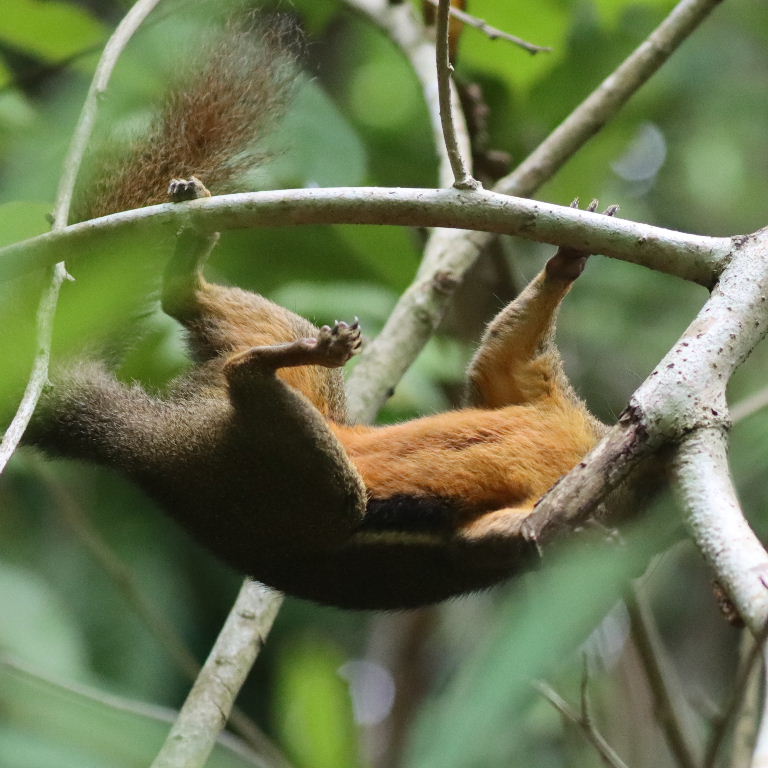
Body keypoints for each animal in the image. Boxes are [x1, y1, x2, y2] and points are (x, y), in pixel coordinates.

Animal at [22, 14, 613, 610]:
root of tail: (158, 449)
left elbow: (495, 539)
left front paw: (540, 533)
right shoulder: (541, 395)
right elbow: (502, 363)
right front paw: (569, 257)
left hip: (310, 490)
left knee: (248, 380)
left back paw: (289, 350)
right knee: (188, 308)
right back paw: (198, 242)